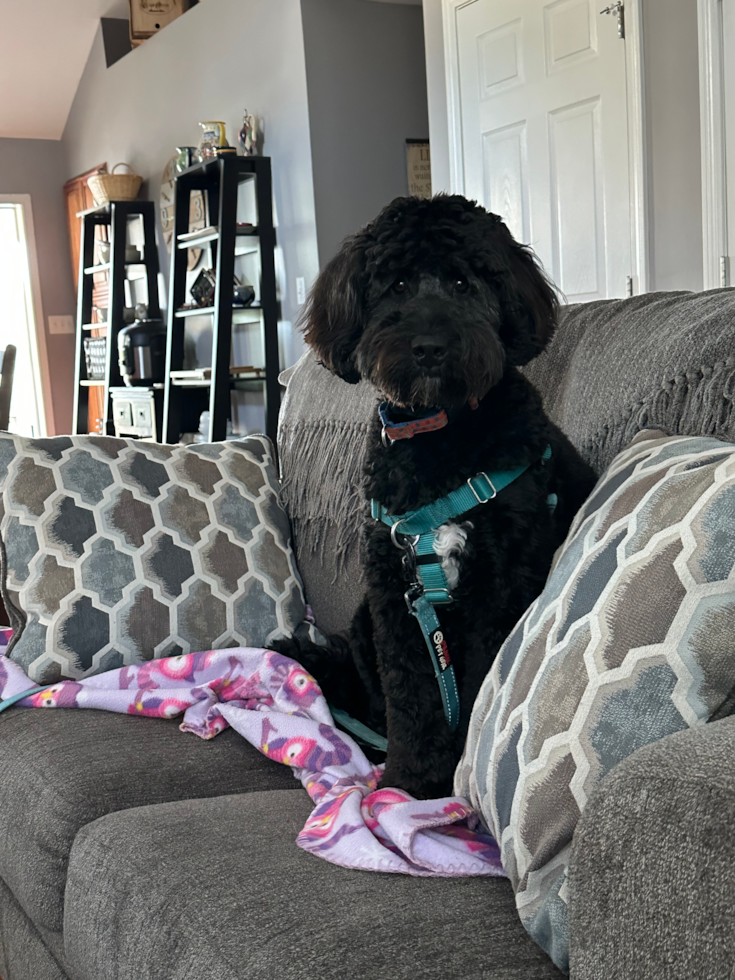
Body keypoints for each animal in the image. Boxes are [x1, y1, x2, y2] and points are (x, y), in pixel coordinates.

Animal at [274, 197, 596, 796]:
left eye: (464, 281)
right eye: (397, 283)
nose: (429, 348)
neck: (440, 437)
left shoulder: (499, 590)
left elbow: (472, 689)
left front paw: (451, 777)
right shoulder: (394, 592)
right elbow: (411, 694)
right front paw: (411, 780)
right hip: (364, 620)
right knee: (376, 703)